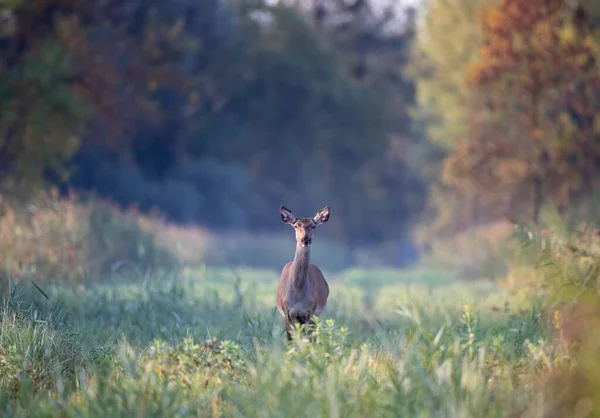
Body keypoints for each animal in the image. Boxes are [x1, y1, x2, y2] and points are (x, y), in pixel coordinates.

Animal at [278, 204, 332, 342]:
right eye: (296, 225)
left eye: (314, 225)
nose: (305, 240)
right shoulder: (287, 313)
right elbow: (290, 341)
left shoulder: (310, 313)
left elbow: (308, 340)